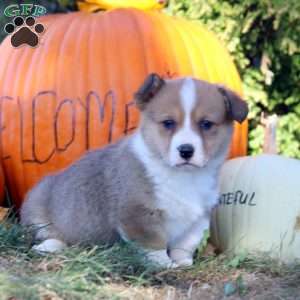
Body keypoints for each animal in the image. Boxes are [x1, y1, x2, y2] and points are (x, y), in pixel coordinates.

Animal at [19, 74, 247, 268]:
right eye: (168, 123)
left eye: (206, 124)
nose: (186, 151)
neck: (183, 177)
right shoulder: (137, 214)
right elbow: (154, 244)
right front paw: (164, 264)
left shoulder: (198, 219)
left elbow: (185, 245)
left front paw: (182, 263)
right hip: (38, 211)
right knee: (49, 234)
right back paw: (49, 246)